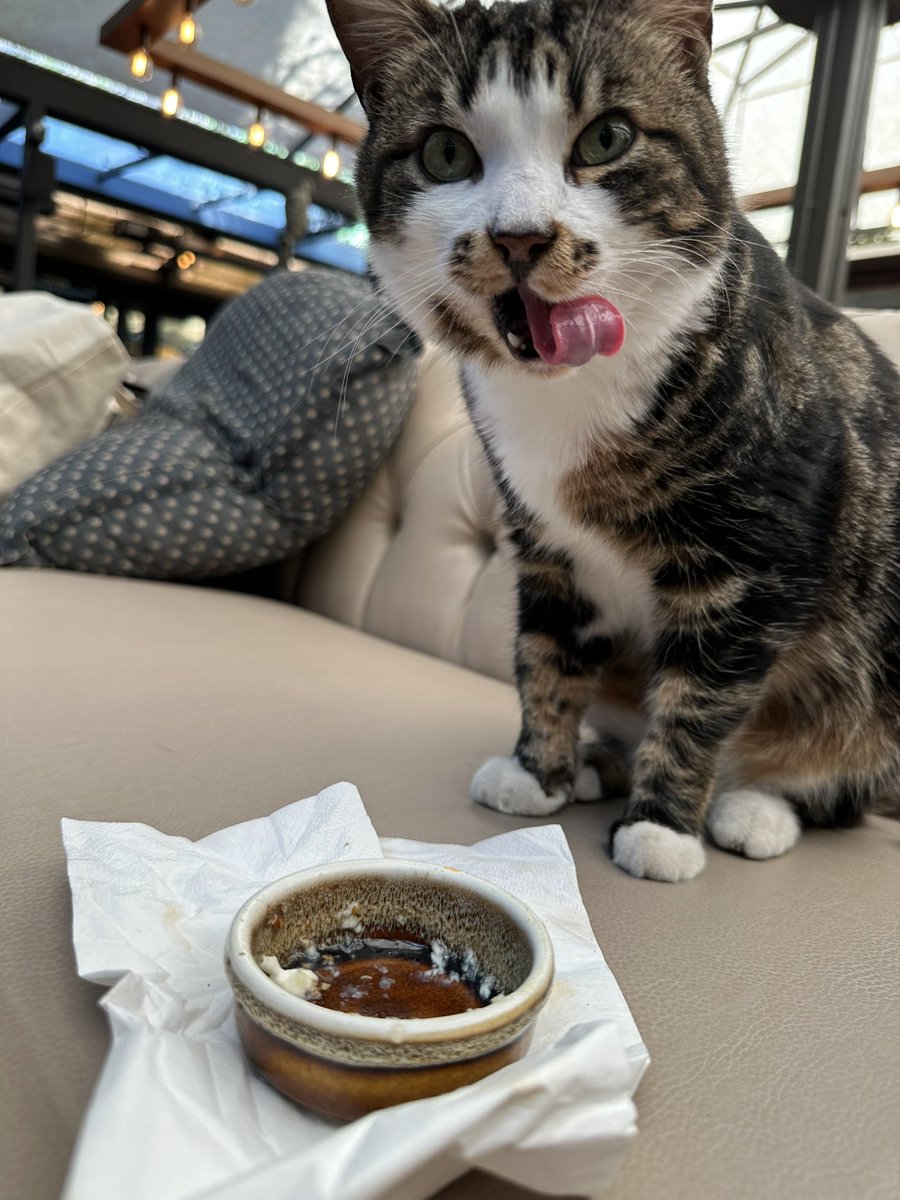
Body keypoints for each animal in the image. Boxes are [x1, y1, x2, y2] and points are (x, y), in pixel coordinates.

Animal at [326, 0, 900, 883]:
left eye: (607, 138)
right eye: (444, 152)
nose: (521, 237)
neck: (566, 394)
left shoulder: (757, 556)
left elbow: (702, 694)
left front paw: (662, 829)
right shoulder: (544, 544)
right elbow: (545, 656)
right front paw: (539, 772)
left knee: (836, 781)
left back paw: (754, 806)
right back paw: (601, 761)